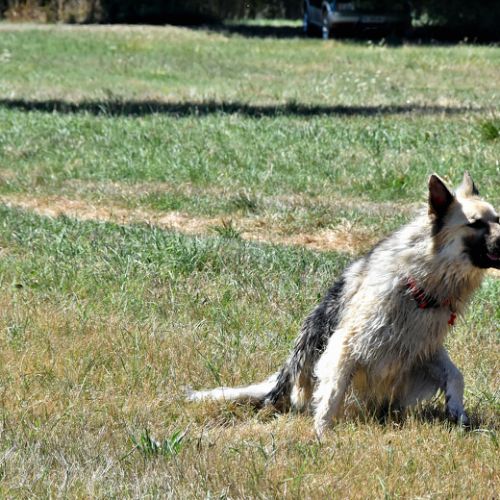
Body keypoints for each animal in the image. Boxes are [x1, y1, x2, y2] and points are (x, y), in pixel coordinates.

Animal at [188, 173, 500, 436]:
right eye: (475, 223)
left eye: (497, 218)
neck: (421, 281)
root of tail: (279, 380)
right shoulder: (348, 344)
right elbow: (332, 393)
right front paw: (321, 434)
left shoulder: (421, 347)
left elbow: (455, 374)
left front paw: (457, 411)